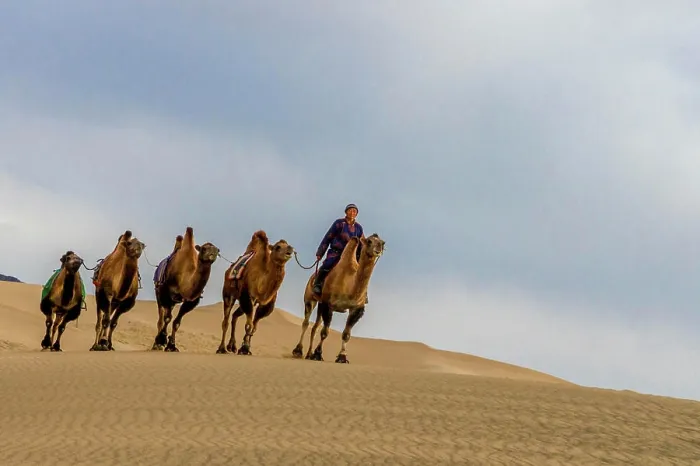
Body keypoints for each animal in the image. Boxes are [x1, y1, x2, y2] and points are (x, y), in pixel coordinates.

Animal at [292, 233, 385, 363]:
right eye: (369, 241)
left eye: (383, 242)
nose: (379, 247)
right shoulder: (328, 304)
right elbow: (325, 332)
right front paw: (318, 354)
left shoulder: (357, 309)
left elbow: (346, 334)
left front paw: (342, 357)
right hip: (310, 298)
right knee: (306, 322)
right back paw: (298, 351)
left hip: (320, 304)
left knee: (315, 326)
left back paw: (309, 354)